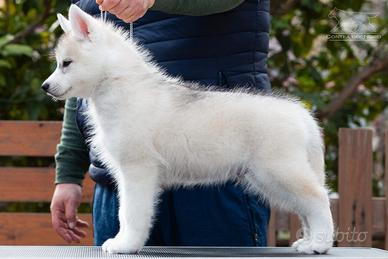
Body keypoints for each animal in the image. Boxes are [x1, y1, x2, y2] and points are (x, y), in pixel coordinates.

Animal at [42, 4, 334, 256]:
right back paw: (308, 242)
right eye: (58, 63)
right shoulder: (128, 174)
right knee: (305, 207)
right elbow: (125, 212)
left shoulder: (138, 170)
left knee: (319, 198)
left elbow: (130, 213)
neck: (118, 86)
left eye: (66, 63)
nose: (45, 87)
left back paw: (320, 243)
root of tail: (301, 113)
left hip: (279, 171)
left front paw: (126, 244)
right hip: (266, 178)